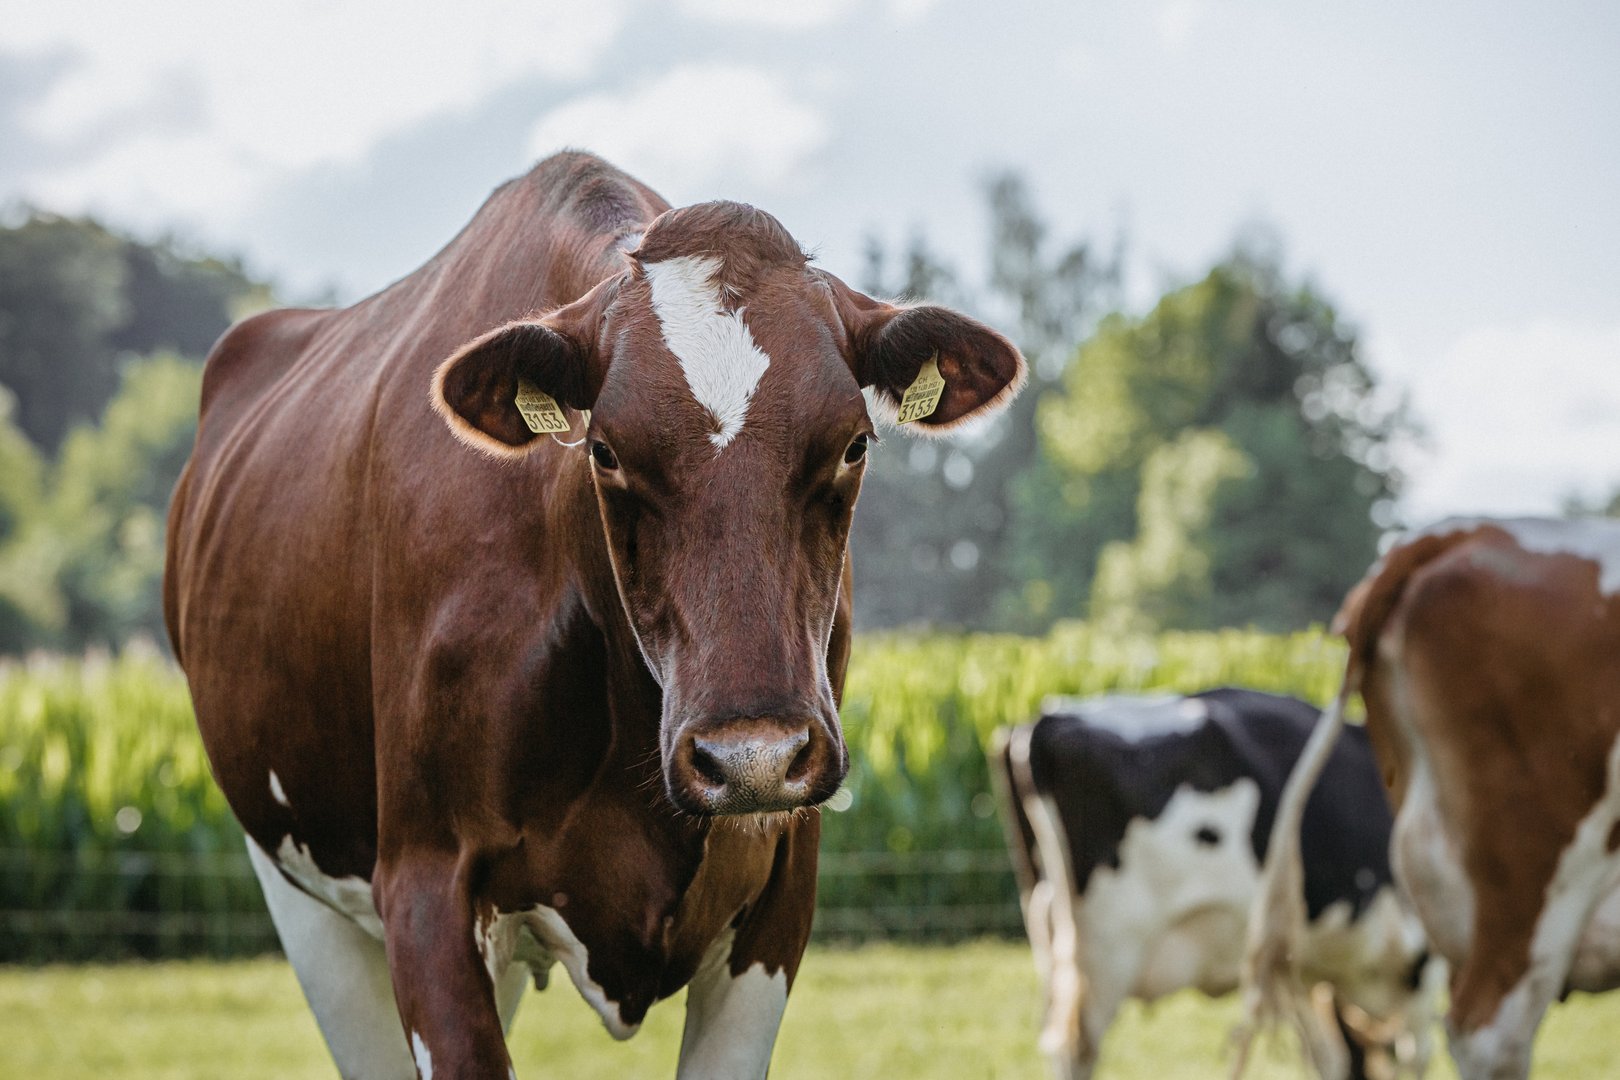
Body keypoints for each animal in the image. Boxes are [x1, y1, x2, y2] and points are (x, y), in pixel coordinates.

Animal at [162, 151, 1025, 1079]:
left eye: (854, 444)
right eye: (605, 451)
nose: (751, 756)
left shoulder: (780, 885)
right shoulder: (424, 885)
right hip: (301, 889)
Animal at [990, 688, 1437, 1080]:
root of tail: (1044, 722)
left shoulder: (1292, 965)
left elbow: (1330, 1056)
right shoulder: (1422, 959)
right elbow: (1415, 1055)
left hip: (1051, 933)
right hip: (1109, 947)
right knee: (1074, 1047)